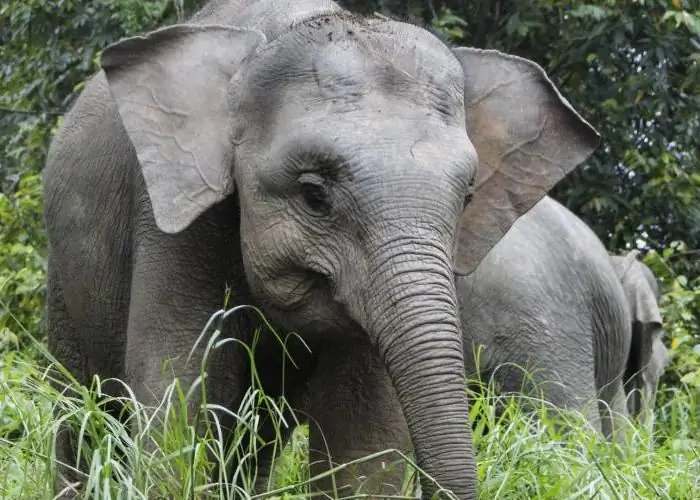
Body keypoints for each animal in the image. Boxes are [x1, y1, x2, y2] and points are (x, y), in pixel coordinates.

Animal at [41, 0, 600, 496]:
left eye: (466, 198)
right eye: (314, 194)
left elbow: (362, 438)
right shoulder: (172, 224)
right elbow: (181, 397)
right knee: (82, 409)